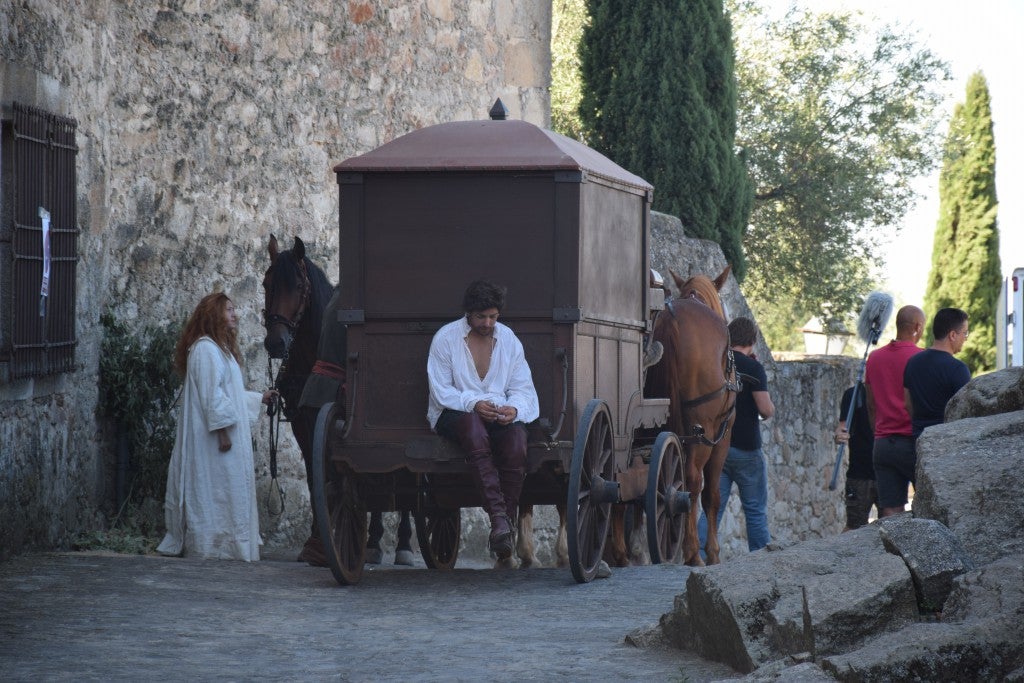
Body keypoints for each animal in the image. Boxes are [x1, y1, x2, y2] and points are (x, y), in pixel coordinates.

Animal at [262, 235, 409, 565]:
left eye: (298, 286)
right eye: (267, 284)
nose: (276, 343)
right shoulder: (305, 422)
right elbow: (315, 475)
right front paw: (316, 541)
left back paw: (399, 543)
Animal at [638, 266, 737, 565]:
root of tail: (673, 318)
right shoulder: (722, 435)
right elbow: (712, 494)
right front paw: (712, 552)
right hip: (701, 432)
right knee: (691, 482)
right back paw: (692, 552)